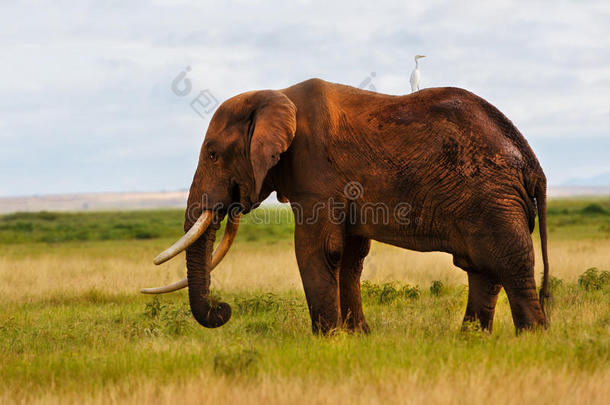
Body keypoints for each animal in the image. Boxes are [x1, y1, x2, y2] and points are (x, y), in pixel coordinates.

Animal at [144, 78, 552, 334]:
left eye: (213, 154)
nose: (223, 309)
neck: (276, 95)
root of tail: (533, 163)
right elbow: (350, 256)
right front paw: (357, 336)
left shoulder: (316, 172)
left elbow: (318, 249)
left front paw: (325, 339)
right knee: (481, 268)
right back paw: (470, 339)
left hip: (492, 196)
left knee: (509, 262)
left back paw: (531, 339)